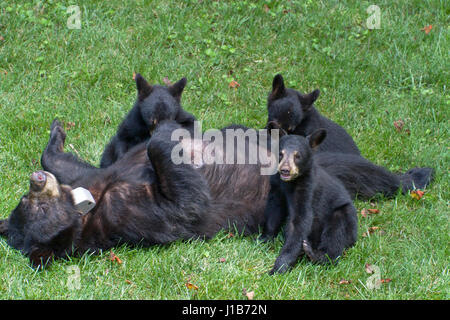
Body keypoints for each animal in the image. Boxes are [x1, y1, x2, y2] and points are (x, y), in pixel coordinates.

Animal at [0, 119, 270, 266]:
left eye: (25, 200)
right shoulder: (126, 210)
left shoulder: (88, 178)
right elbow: (186, 204)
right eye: (41, 208)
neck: (89, 207)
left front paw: (56, 133)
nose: (36, 180)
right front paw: (164, 133)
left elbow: (65, 164)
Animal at [260, 129, 358, 274]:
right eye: (280, 154)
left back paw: (315, 254)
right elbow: (274, 210)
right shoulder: (277, 186)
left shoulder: (307, 190)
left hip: (345, 216)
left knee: (336, 234)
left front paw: (278, 268)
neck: (290, 183)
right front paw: (263, 239)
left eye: (297, 156)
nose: (285, 170)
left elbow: (300, 221)